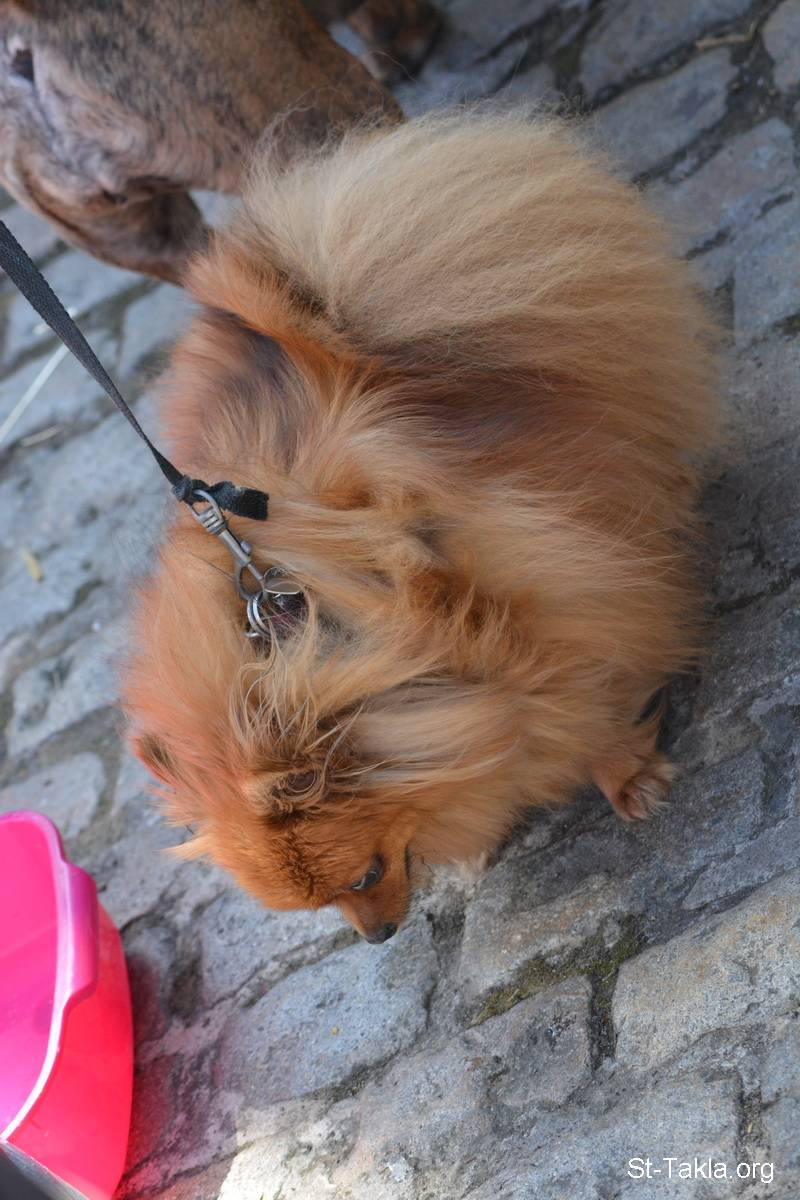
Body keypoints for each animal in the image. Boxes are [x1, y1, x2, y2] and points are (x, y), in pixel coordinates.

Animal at [123, 111, 716, 943]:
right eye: (326, 904)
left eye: (364, 876)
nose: (377, 937)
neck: (303, 637)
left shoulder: (536, 619)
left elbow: (579, 709)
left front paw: (624, 774)